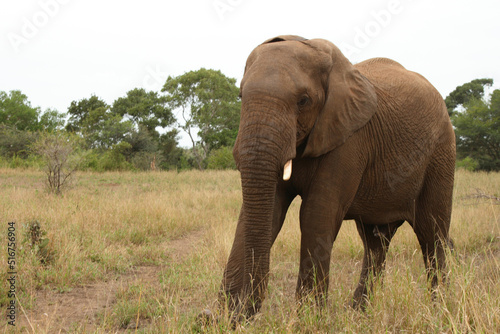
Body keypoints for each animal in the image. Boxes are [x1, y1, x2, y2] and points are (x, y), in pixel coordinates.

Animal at [209, 35, 456, 322]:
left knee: (432, 233)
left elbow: (316, 214)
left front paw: (306, 321)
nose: (240, 312)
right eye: (240, 96)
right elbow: (269, 212)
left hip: (441, 153)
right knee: (375, 242)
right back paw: (359, 313)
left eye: (304, 101)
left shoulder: (349, 138)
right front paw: (218, 317)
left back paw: (440, 311)